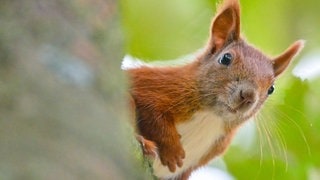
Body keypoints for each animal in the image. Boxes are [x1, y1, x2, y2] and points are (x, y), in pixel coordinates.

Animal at [126, 0, 304, 179]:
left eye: (271, 89)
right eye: (226, 58)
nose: (248, 96)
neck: (211, 116)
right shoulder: (154, 85)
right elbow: (152, 112)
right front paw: (172, 150)